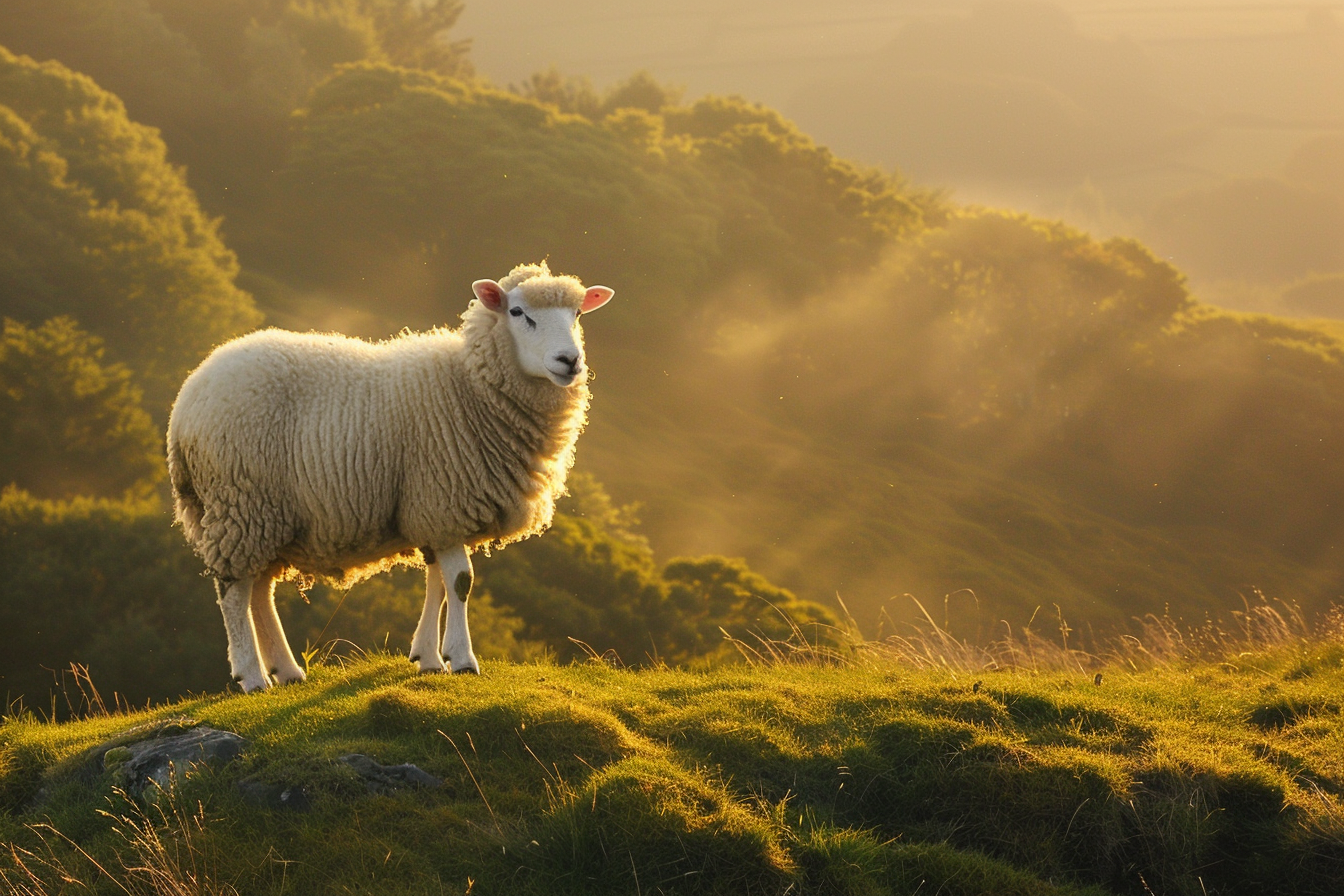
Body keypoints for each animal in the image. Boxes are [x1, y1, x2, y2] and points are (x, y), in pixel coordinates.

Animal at [166, 262, 614, 692]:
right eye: (518, 313)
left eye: (577, 313)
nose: (570, 361)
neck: (469, 387)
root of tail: (188, 398)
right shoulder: (443, 498)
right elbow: (461, 582)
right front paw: (462, 660)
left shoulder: (433, 511)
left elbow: (438, 582)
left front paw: (428, 658)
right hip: (241, 505)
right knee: (233, 592)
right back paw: (251, 676)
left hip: (267, 517)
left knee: (259, 590)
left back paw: (286, 670)